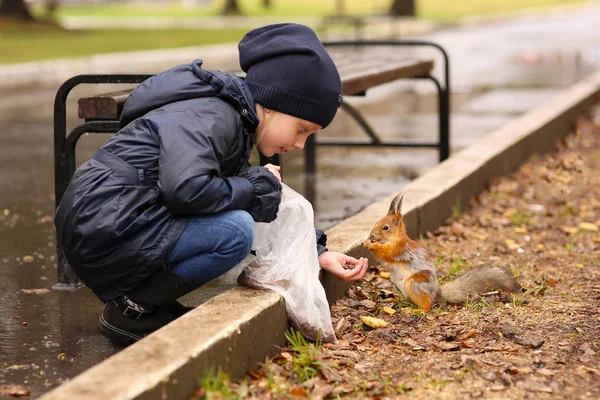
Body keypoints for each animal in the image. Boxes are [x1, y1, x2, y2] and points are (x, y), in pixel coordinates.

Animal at [360, 192, 520, 310]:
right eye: (376, 222)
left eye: (385, 227)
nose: (371, 236)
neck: (394, 238)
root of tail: (435, 294)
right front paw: (367, 242)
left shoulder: (399, 248)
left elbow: (386, 254)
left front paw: (372, 245)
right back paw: (396, 301)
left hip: (416, 284)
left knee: (426, 306)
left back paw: (415, 310)